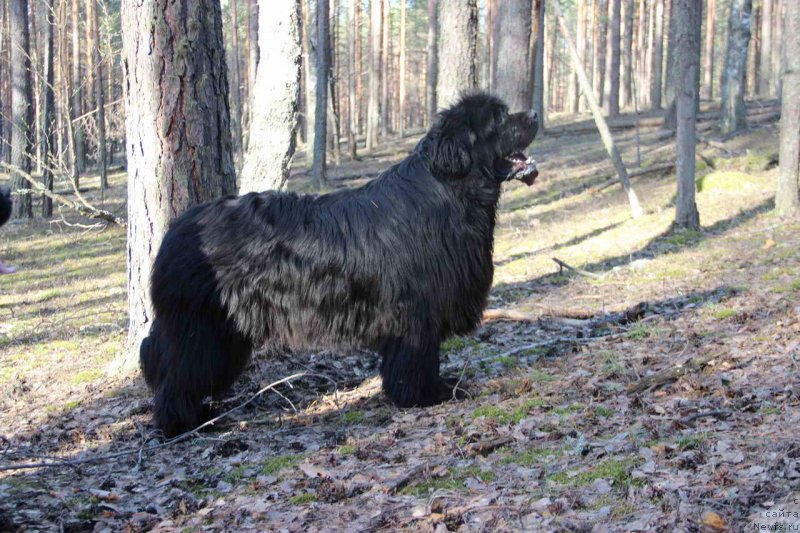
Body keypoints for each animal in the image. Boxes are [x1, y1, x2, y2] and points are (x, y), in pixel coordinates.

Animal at [139, 91, 536, 434]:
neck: (449, 190)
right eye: (499, 118)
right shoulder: (415, 313)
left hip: (225, 332)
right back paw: (179, 423)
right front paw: (425, 395)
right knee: (179, 373)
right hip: (201, 327)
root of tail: (176, 230)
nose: (533, 114)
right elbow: (418, 359)